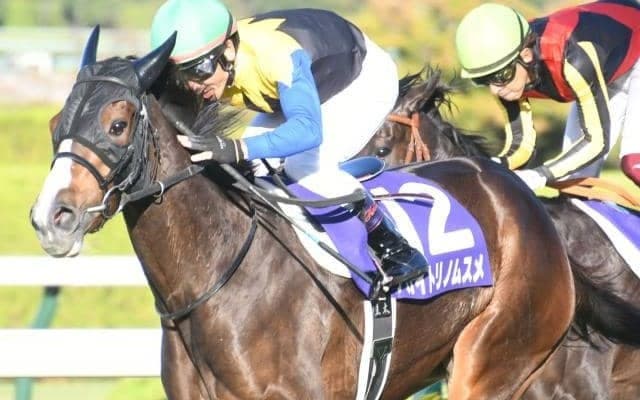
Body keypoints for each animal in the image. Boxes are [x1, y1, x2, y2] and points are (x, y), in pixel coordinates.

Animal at [30, 29, 577, 400]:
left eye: (118, 125)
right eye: (56, 125)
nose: (51, 217)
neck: (219, 279)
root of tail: (511, 189)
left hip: (490, 358)